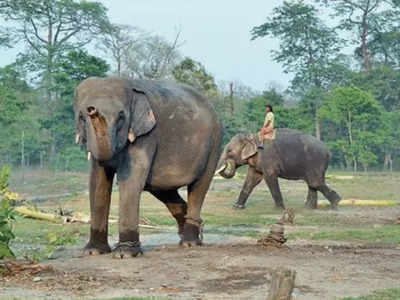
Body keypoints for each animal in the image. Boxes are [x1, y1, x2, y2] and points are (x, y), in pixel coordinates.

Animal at [74, 77, 222, 258]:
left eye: (121, 117)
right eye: (81, 117)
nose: (92, 109)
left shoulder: (147, 135)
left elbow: (130, 181)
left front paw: (124, 254)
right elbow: (97, 183)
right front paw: (93, 252)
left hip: (214, 143)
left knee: (199, 186)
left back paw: (190, 243)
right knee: (164, 191)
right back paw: (192, 231)